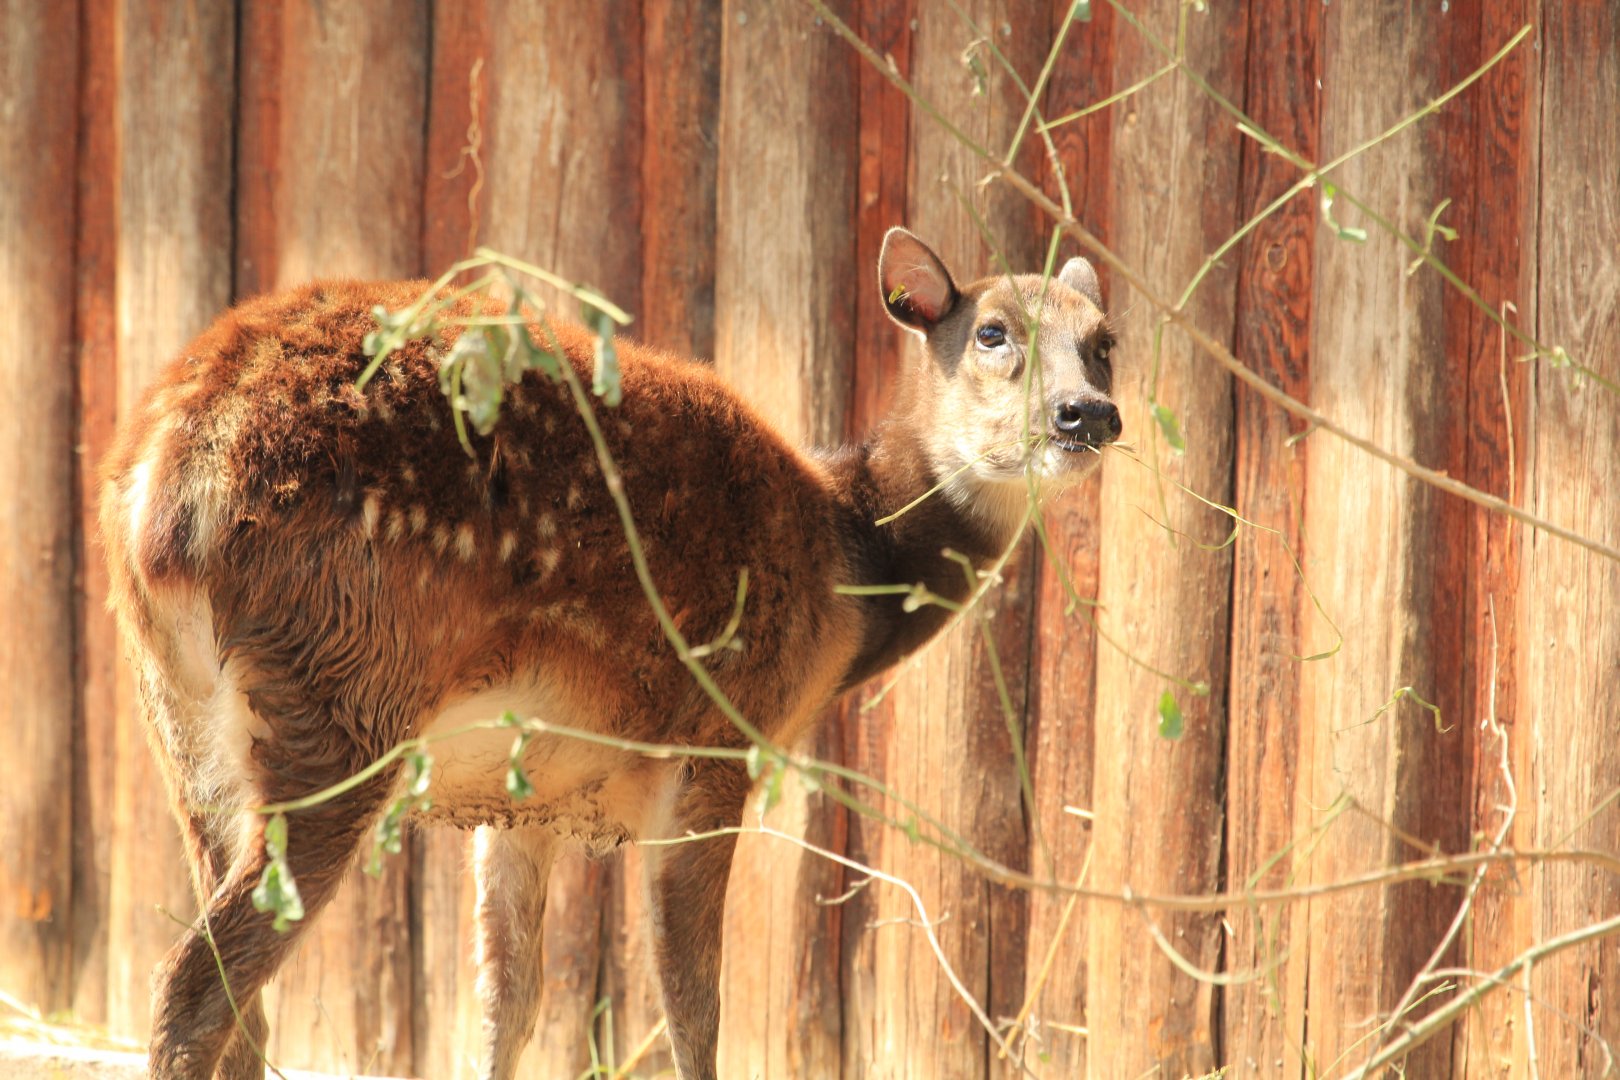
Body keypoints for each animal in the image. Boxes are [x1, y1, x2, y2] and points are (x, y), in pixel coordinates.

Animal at [100, 228, 1120, 1080]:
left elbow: (507, 1006)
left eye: (1105, 339)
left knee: (241, 997)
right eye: (992, 332)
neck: (844, 566)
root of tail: (165, 480)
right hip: (341, 679)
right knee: (195, 983)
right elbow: (692, 1009)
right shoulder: (716, 741)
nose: (1089, 415)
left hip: (184, 725)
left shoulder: (524, 794)